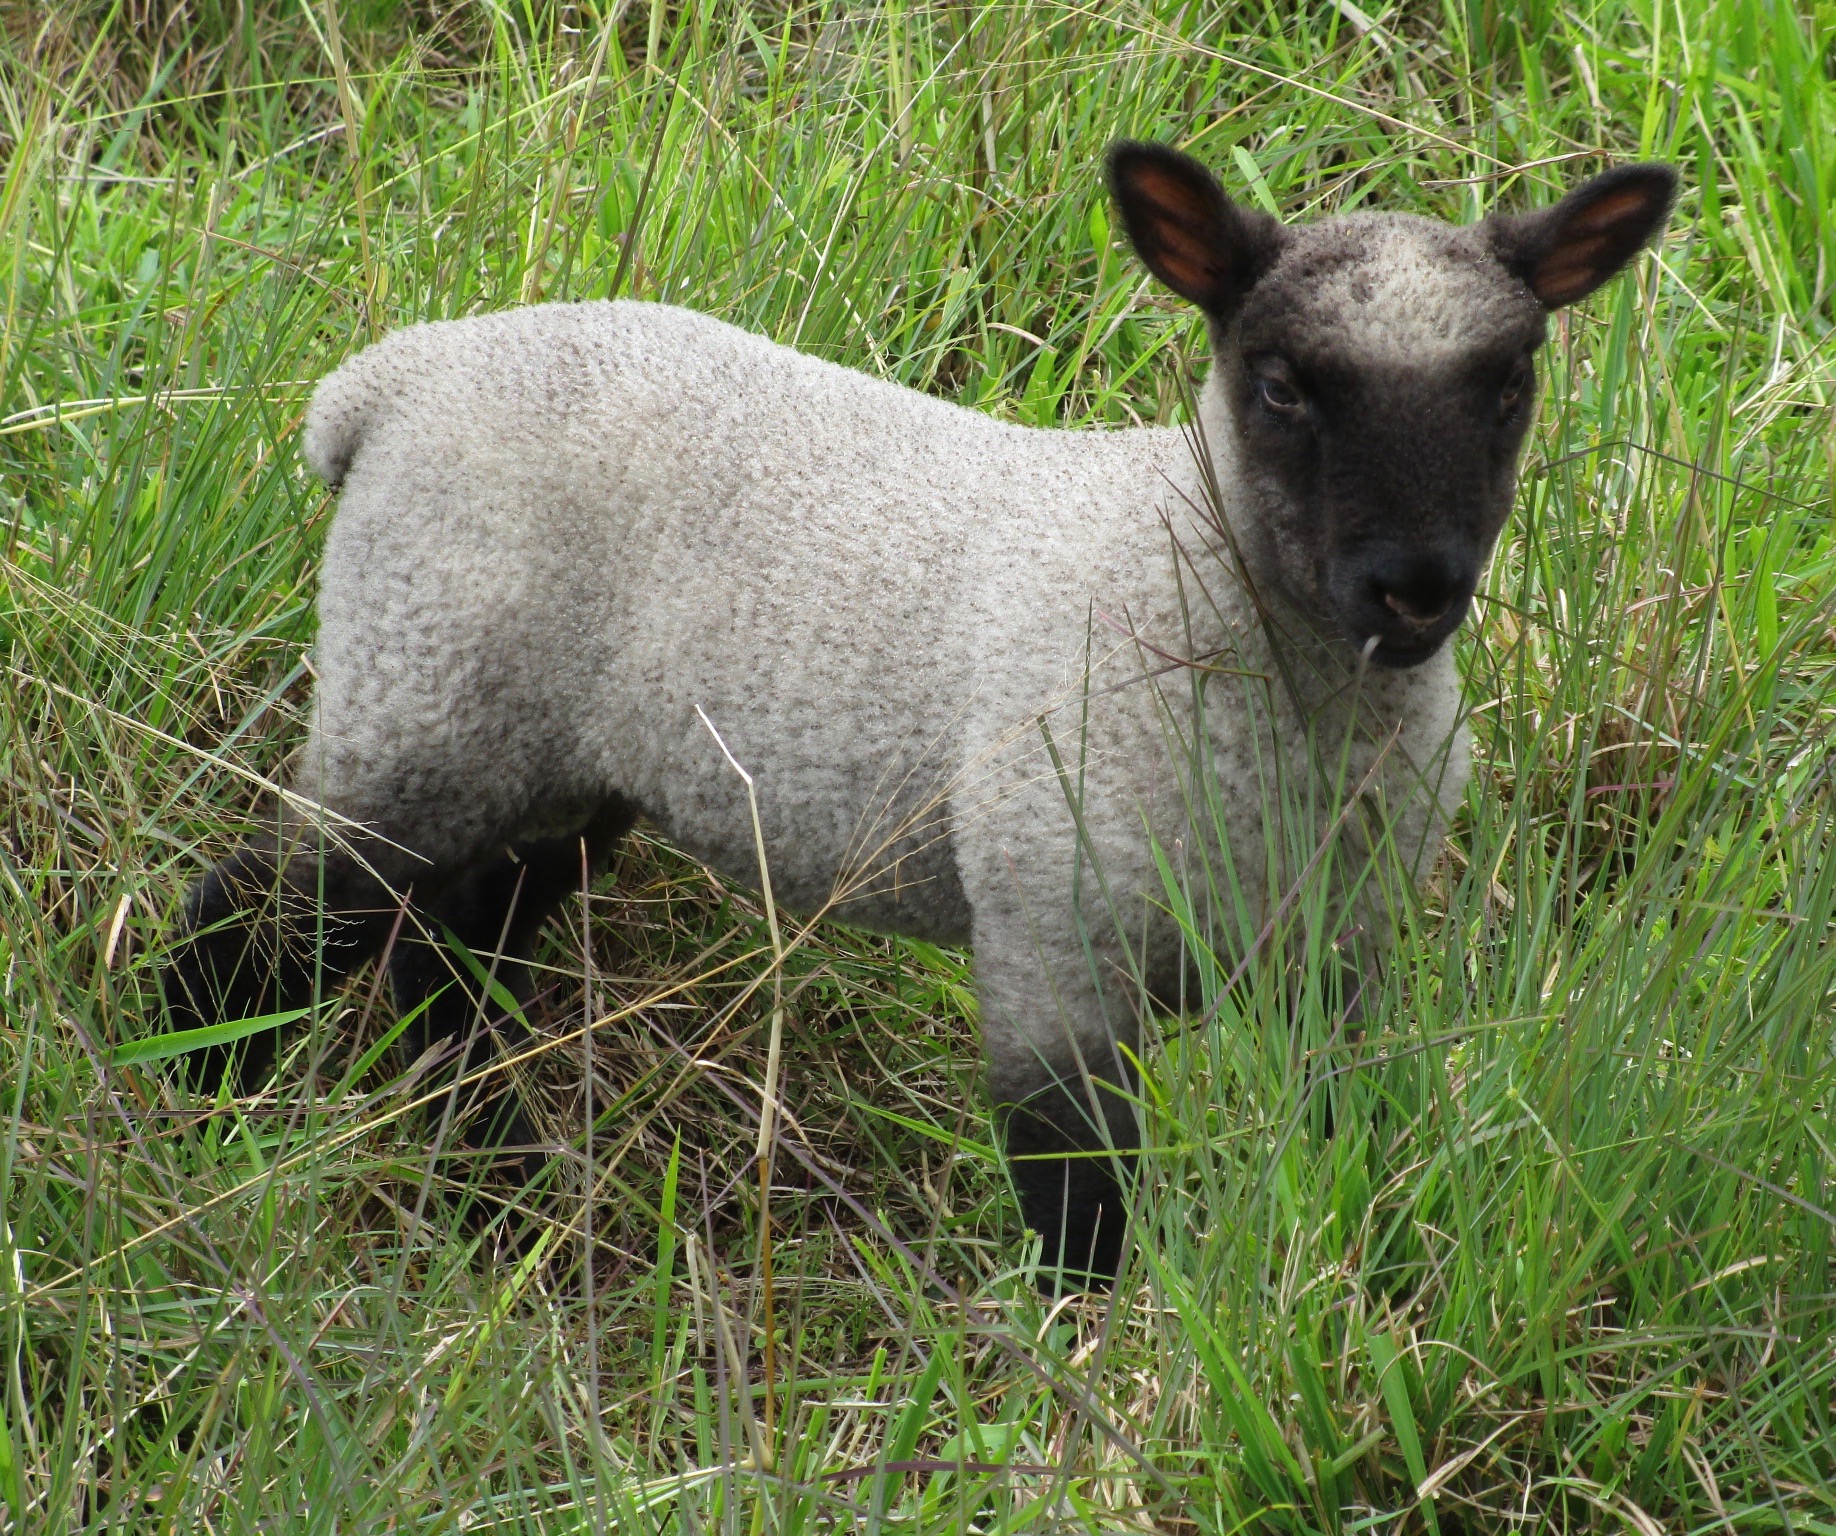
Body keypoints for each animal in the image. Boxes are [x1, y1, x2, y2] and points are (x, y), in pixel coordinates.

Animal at [161, 146, 1681, 1284]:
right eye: (1282, 383)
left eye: (1509, 384)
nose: (1414, 588)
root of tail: (385, 385)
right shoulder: (1052, 941)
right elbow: (1083, 1219)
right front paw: (1083, 1388)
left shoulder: (1347, 965)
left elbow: (1349, 1148)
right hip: (420, 703)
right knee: (257, 913)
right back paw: (189, 1110)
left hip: (557, 770)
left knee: (450, 957)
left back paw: (495, 1191)